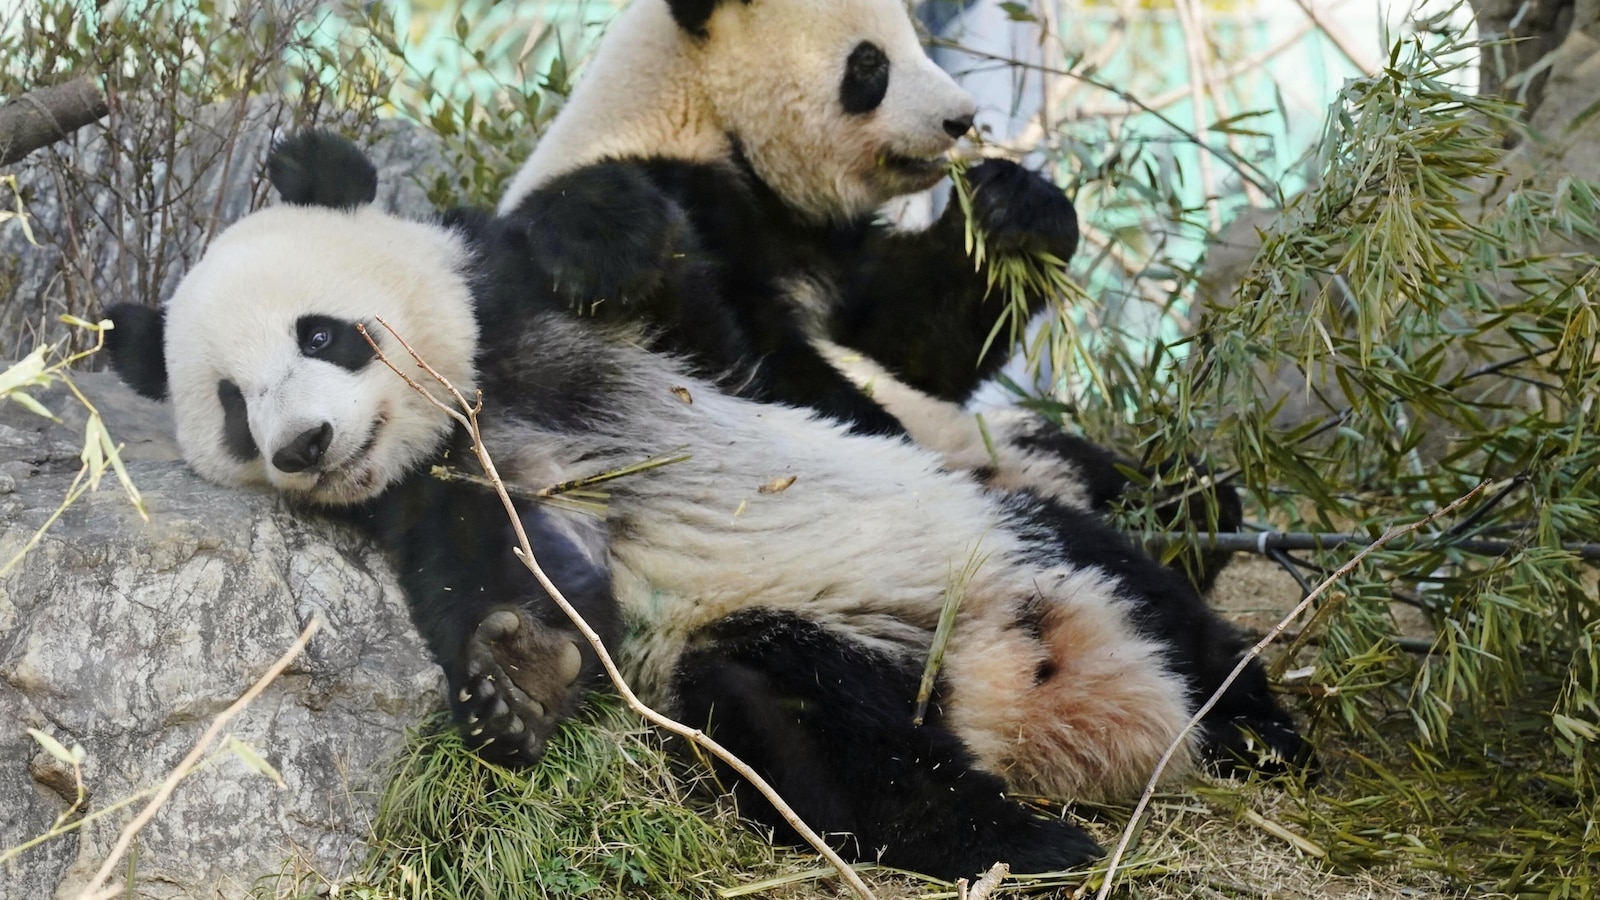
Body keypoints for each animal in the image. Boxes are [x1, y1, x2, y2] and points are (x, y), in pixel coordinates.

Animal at [104, 131, 1308, 881]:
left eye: (321, 333)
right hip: (815, 650)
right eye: (231, 405)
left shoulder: (592, 334)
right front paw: (514, 680)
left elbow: (753, 349)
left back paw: (1257, 739)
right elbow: (515, 575)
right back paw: (1020, 842)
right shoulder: (442, 491)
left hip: (1007, 535)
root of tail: (1029, 693)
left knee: (1153, 598)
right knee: (814, 734)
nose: (303, 446)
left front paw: (598, 230)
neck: (481, 404)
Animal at [495, 0, 1242, 590]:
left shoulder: (826, 245)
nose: (961, 119)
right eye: (869, 65)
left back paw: (1188, 508)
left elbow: (908, 344)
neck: (699, 116)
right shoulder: (676, 185)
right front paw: (618, 243)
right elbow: (725, 368)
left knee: (1141, 483)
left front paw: (1017, 208)